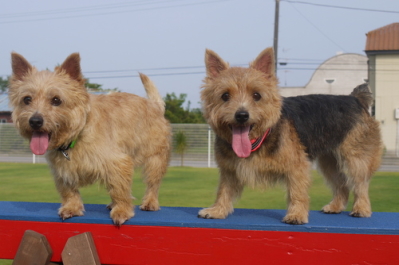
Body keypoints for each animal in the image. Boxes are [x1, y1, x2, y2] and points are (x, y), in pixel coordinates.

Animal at [7, 52, 170, 224]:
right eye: (27, 99)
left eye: (56, 100)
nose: (35, 121)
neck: (75, 137)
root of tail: (155, 105)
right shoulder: (62, 170)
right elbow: (69, 191)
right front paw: (71, 208)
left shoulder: (118, 162)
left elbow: (120, 189)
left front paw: (122, 210)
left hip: (155, 159)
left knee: (153, 183)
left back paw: (150, 202)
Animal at [198, 47, 382, 223]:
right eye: (225, 96)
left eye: (256, 95)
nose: (242, 115)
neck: (259, 138)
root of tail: (355, 99)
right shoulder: (230, 170)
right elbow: (223, 191)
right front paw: (217, 210)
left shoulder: (297, 167)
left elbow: (297, 192)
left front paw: (297, 215)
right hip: (329, 163)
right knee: (342, 184)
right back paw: (335, 206)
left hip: (356, 160)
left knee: (360, 185)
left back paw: (361, 209)